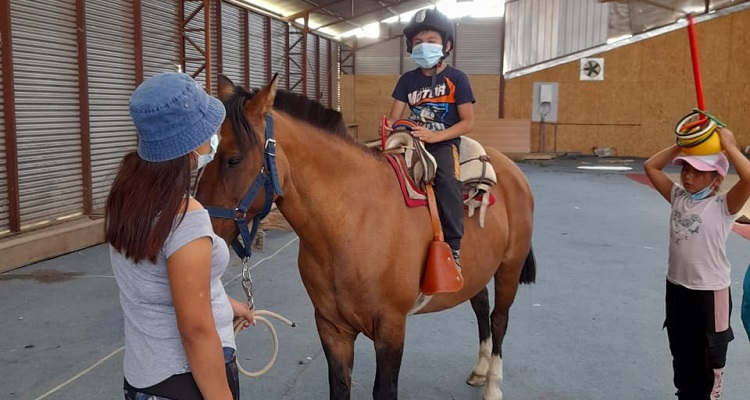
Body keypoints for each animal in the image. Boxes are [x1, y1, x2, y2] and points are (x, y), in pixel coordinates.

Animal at [197, 76, 536, 400]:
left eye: (234, 159)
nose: (204, 232)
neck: (352, 224)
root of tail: (510, 169)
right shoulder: (332, 327)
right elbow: (339, 387)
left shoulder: (391, 328)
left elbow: (384, 390)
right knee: (480, 306)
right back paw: (480, 370)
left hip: (509, 267)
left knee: (499, 319)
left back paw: (493, 386)